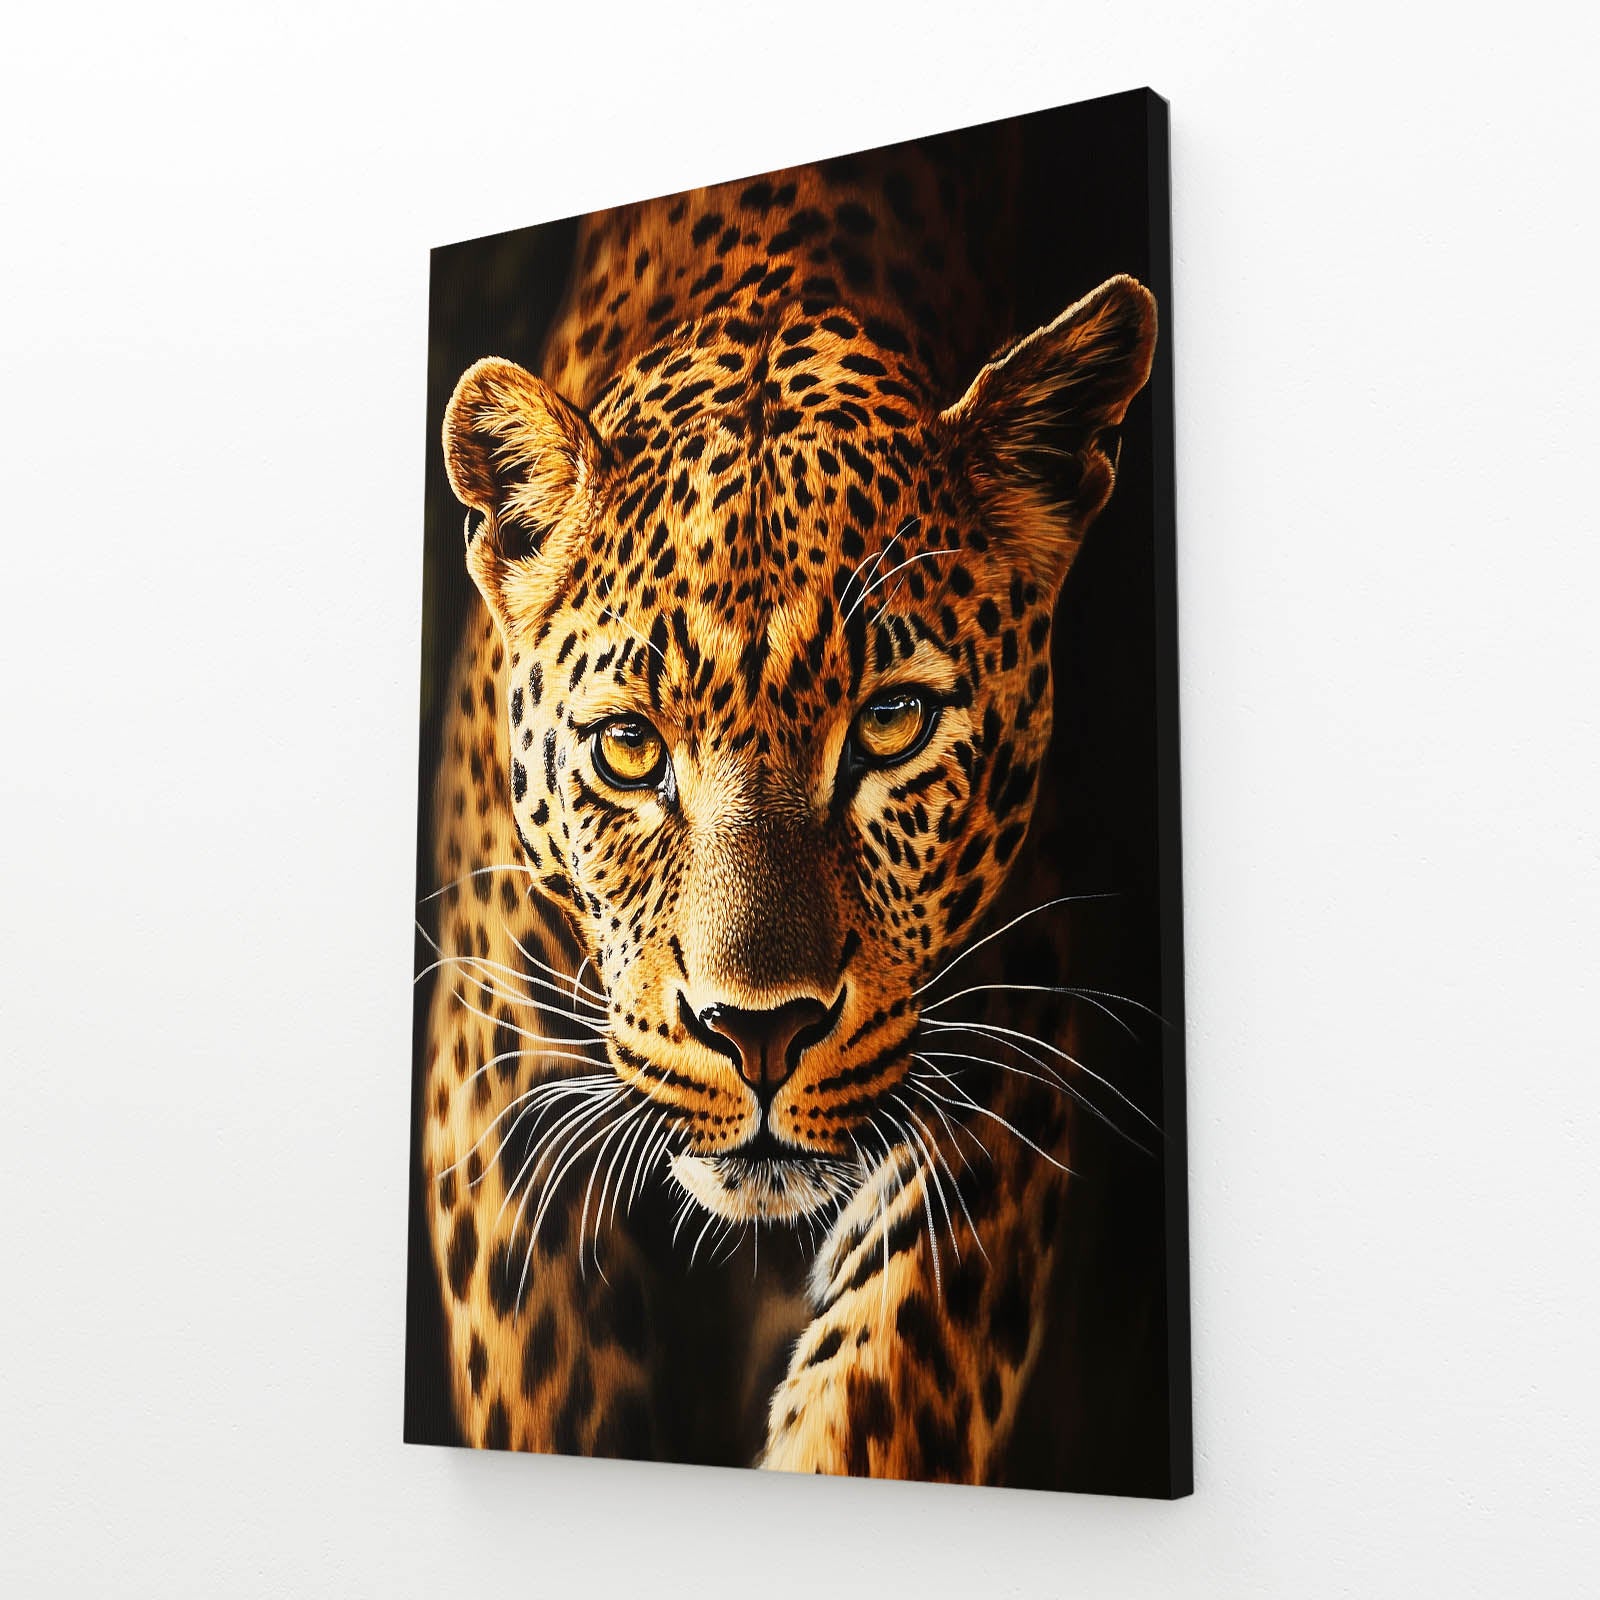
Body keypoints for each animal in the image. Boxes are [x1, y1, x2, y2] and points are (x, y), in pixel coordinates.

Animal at [416, 138, 1157, 1483]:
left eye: (891, 724)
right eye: (628, 749)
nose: (758, 1034)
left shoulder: (1009, 1023)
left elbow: (885, 1377)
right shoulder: (491, 1072)